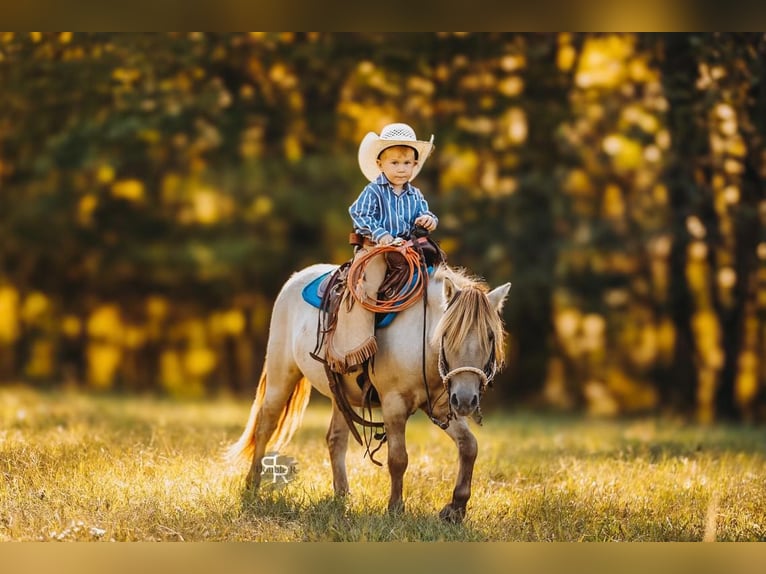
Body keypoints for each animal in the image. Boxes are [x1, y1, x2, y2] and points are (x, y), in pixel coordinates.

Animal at [226, 261, 511, 523]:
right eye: (448, 334)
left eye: (490, 337)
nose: (466, 400)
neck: (419, 337)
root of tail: (296, 277)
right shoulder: (394, 404)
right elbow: (398, 459)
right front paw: (395, 509)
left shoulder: (442, 406)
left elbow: (469, 446)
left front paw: (456, 509)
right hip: (280, 376)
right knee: (265, 426)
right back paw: (252, 485)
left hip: (341, 396)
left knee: (335, 440)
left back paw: (342, 495)